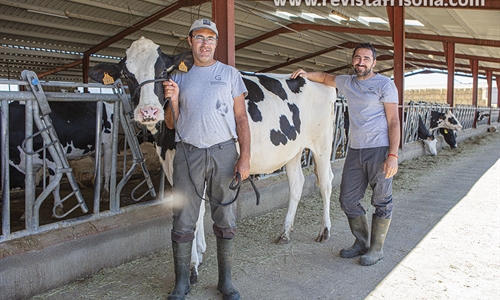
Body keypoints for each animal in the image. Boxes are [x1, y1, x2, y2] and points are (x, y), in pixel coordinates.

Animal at [90, 36, 338, 282]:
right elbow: (197, 212)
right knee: (296, 185)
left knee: (326, 183)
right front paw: (199, 252)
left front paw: (192, 265)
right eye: (126, 74)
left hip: (322, 145)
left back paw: (324, 231)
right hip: (292, 150)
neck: (165, 142)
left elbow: (196, 212)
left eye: (163, 70)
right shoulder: (175, 167)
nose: (148, 111)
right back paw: (285, 232)